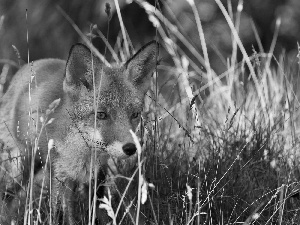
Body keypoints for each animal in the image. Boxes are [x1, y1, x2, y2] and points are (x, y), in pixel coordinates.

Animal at [0, 40, 159, 225]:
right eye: (101, 115)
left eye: (134, 114)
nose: (131, 148)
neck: (82, 153)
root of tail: (26, 67)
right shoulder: (59, 175)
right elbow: (60, 214)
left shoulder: (97, 174)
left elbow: (97, 209)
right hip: (21, 167)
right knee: (5, 194)